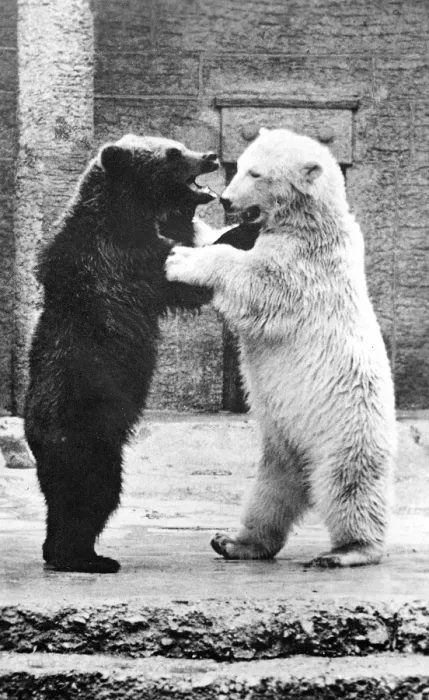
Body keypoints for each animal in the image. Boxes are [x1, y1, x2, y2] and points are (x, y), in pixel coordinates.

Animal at [24, 133, 221, 574]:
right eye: (172, 152)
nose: (212, 155)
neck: (123, 213)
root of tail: (35, 439)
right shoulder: (126, 260)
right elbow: (184, 276)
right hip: (86, 435)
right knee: (93, 496)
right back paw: (85, 558)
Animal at [166, 127, 397, 568]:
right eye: (239, 166)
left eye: (256, 173)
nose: (226, 200)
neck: (312, 219)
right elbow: (225, 241)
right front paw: (194, 229)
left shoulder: (305, 265)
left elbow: (258, 282)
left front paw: (181, 259)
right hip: (284, 437)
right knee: (273, 488)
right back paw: (234, 541)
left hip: (345, 426)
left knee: (347, 485)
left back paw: (348, 550)